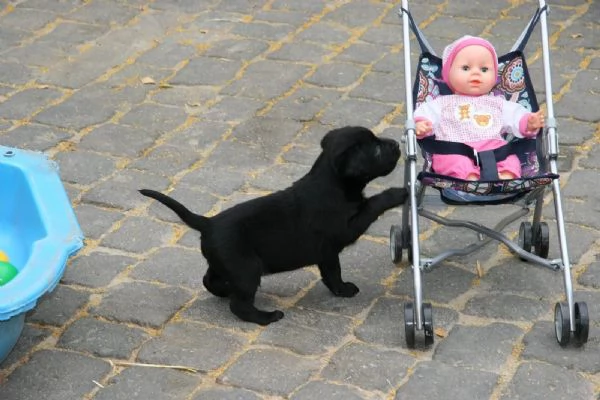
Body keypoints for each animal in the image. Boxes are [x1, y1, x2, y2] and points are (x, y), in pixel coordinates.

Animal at [139, 126, 408, 324]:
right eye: (376, 149)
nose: (397, 144)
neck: (331, 182)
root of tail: (208, 223)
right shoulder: (344, 230)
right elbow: (372, 205)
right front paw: (398, 193)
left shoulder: (327, 251)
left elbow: (332, 273)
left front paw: (340, 290)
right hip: (247, 269)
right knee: (239, 306)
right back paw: (266, 317)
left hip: (227, 264)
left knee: (210, 281)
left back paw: (226, 290)